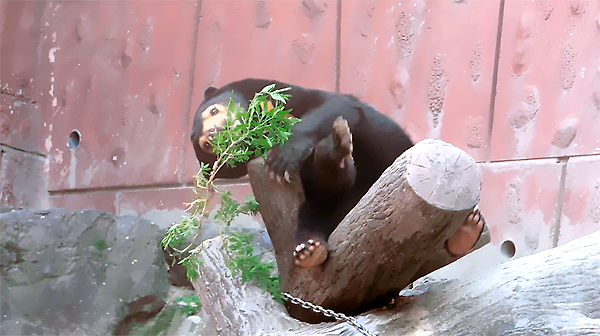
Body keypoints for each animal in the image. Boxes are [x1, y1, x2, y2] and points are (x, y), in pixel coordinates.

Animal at [192, 78, 488, 268]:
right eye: (206, 146)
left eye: (214, 110)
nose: (214, 132)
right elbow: (330, 184)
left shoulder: (297, 97)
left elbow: (335, 107)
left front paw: (286, 153)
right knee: (315, 213)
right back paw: (310, 249)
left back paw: (467, 229)